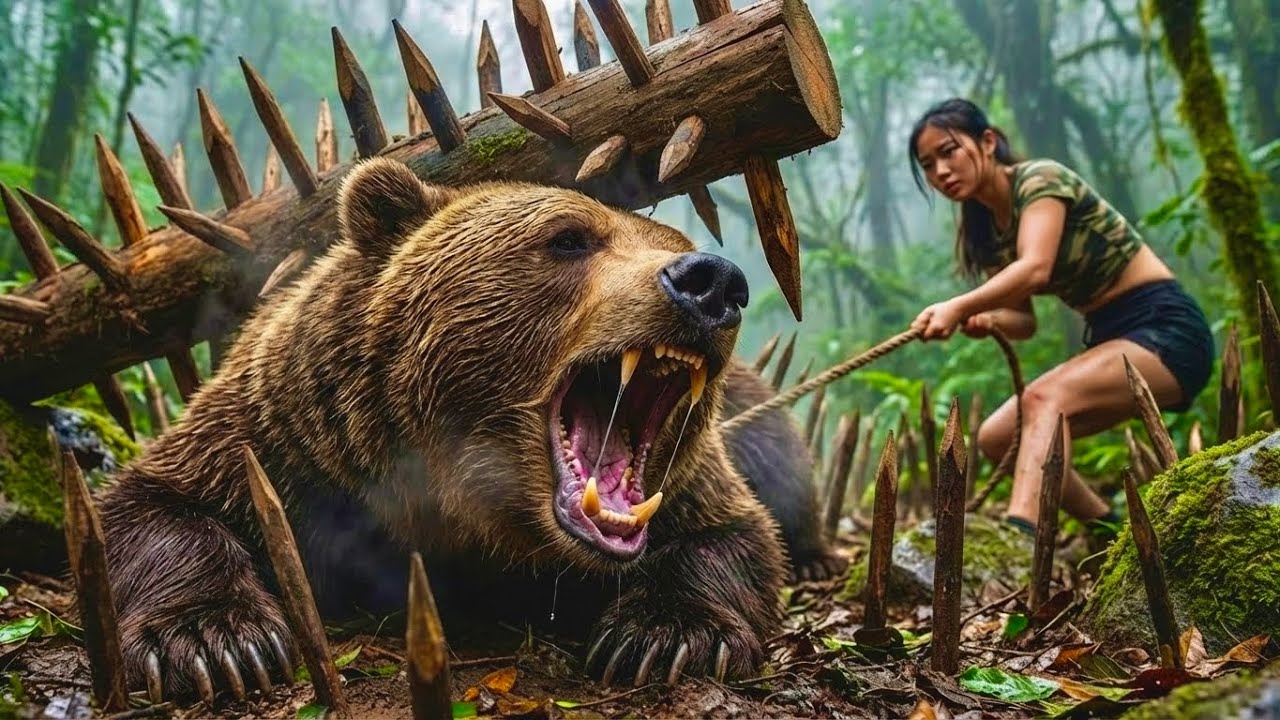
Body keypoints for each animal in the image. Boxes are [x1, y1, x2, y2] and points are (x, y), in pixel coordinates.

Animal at [95, 157, 827, 703]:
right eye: (569, 237)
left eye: (674, 243)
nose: (713, 281)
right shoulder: (291, 434)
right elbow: (155, 503)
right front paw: (213, 640)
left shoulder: (691, 480)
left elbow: (735, 534)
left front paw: (664, 636)